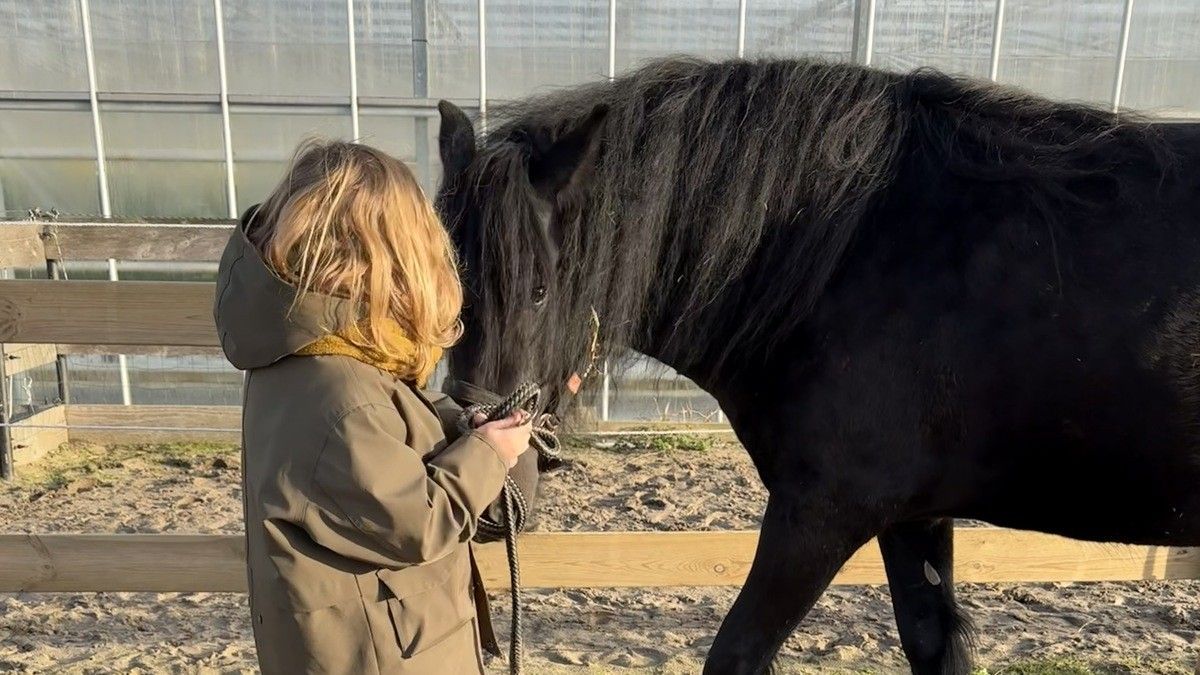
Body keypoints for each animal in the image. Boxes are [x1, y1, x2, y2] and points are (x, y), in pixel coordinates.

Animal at [434, 56, 1200, 674]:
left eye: (540, 288)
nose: (493, 504)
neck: (851, 256)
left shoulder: (820, 515)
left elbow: (736, 654)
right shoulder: (913, 518)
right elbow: (933, 646)